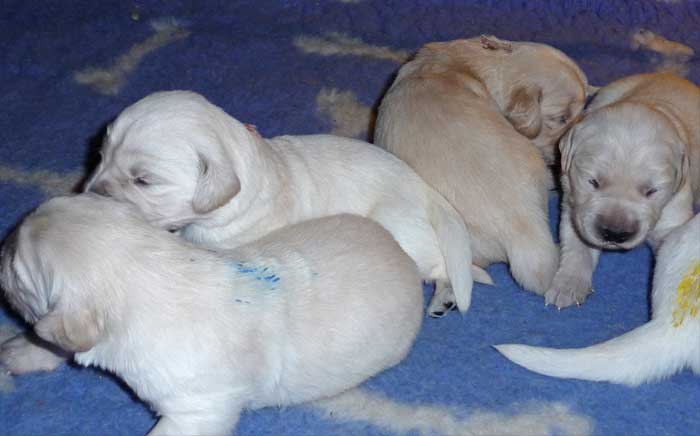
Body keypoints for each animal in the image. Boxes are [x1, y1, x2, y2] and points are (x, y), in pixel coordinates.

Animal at [0, 194, 424, 435]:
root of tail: (402, 252)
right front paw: (20, 350)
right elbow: (49, 337)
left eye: (17, 270)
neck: (148, 270)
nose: (1, 248)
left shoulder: (199, 409)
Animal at [85, 90, 488, 317]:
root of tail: (429, 193)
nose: (93, 193)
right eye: (101, 155)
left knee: (442, 267)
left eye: (144, 180)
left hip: (402, 231)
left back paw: (445, 297)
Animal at [545, 73, 700, 308]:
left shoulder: (674, 208)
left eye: (651, 191)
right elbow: (577, 247)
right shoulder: (575, 206)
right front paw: (568, 286)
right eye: (593, 182)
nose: (615, 233)